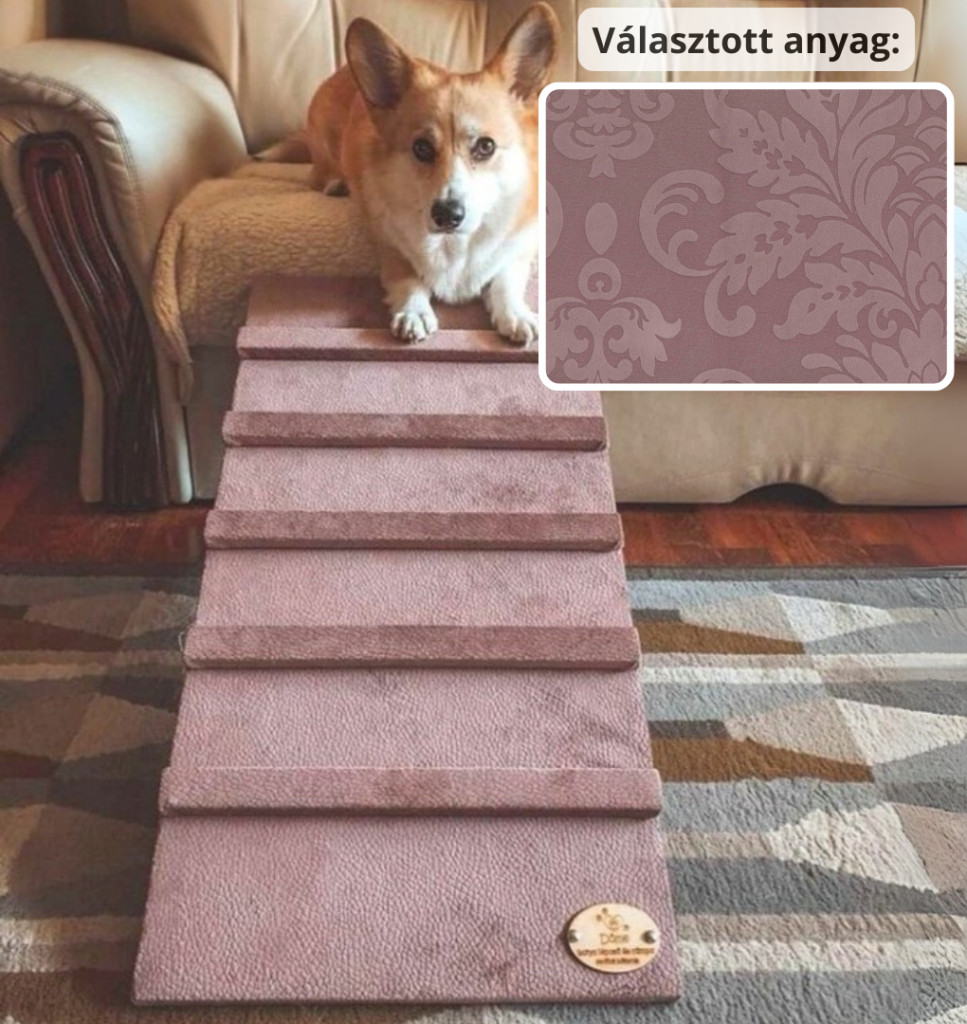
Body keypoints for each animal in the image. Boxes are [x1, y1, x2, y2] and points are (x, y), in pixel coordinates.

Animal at [268, 4, 559, 344]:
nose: (447, 215)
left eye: (486, 146)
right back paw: (336, 184)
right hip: (324, 147)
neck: (455, 245)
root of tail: (340, 74)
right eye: (421, 148)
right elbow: (408, 278)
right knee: (319, 174)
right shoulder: (390, 247)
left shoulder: (520, 249)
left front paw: (517, 314)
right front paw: (414, 312)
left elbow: (505, 279)